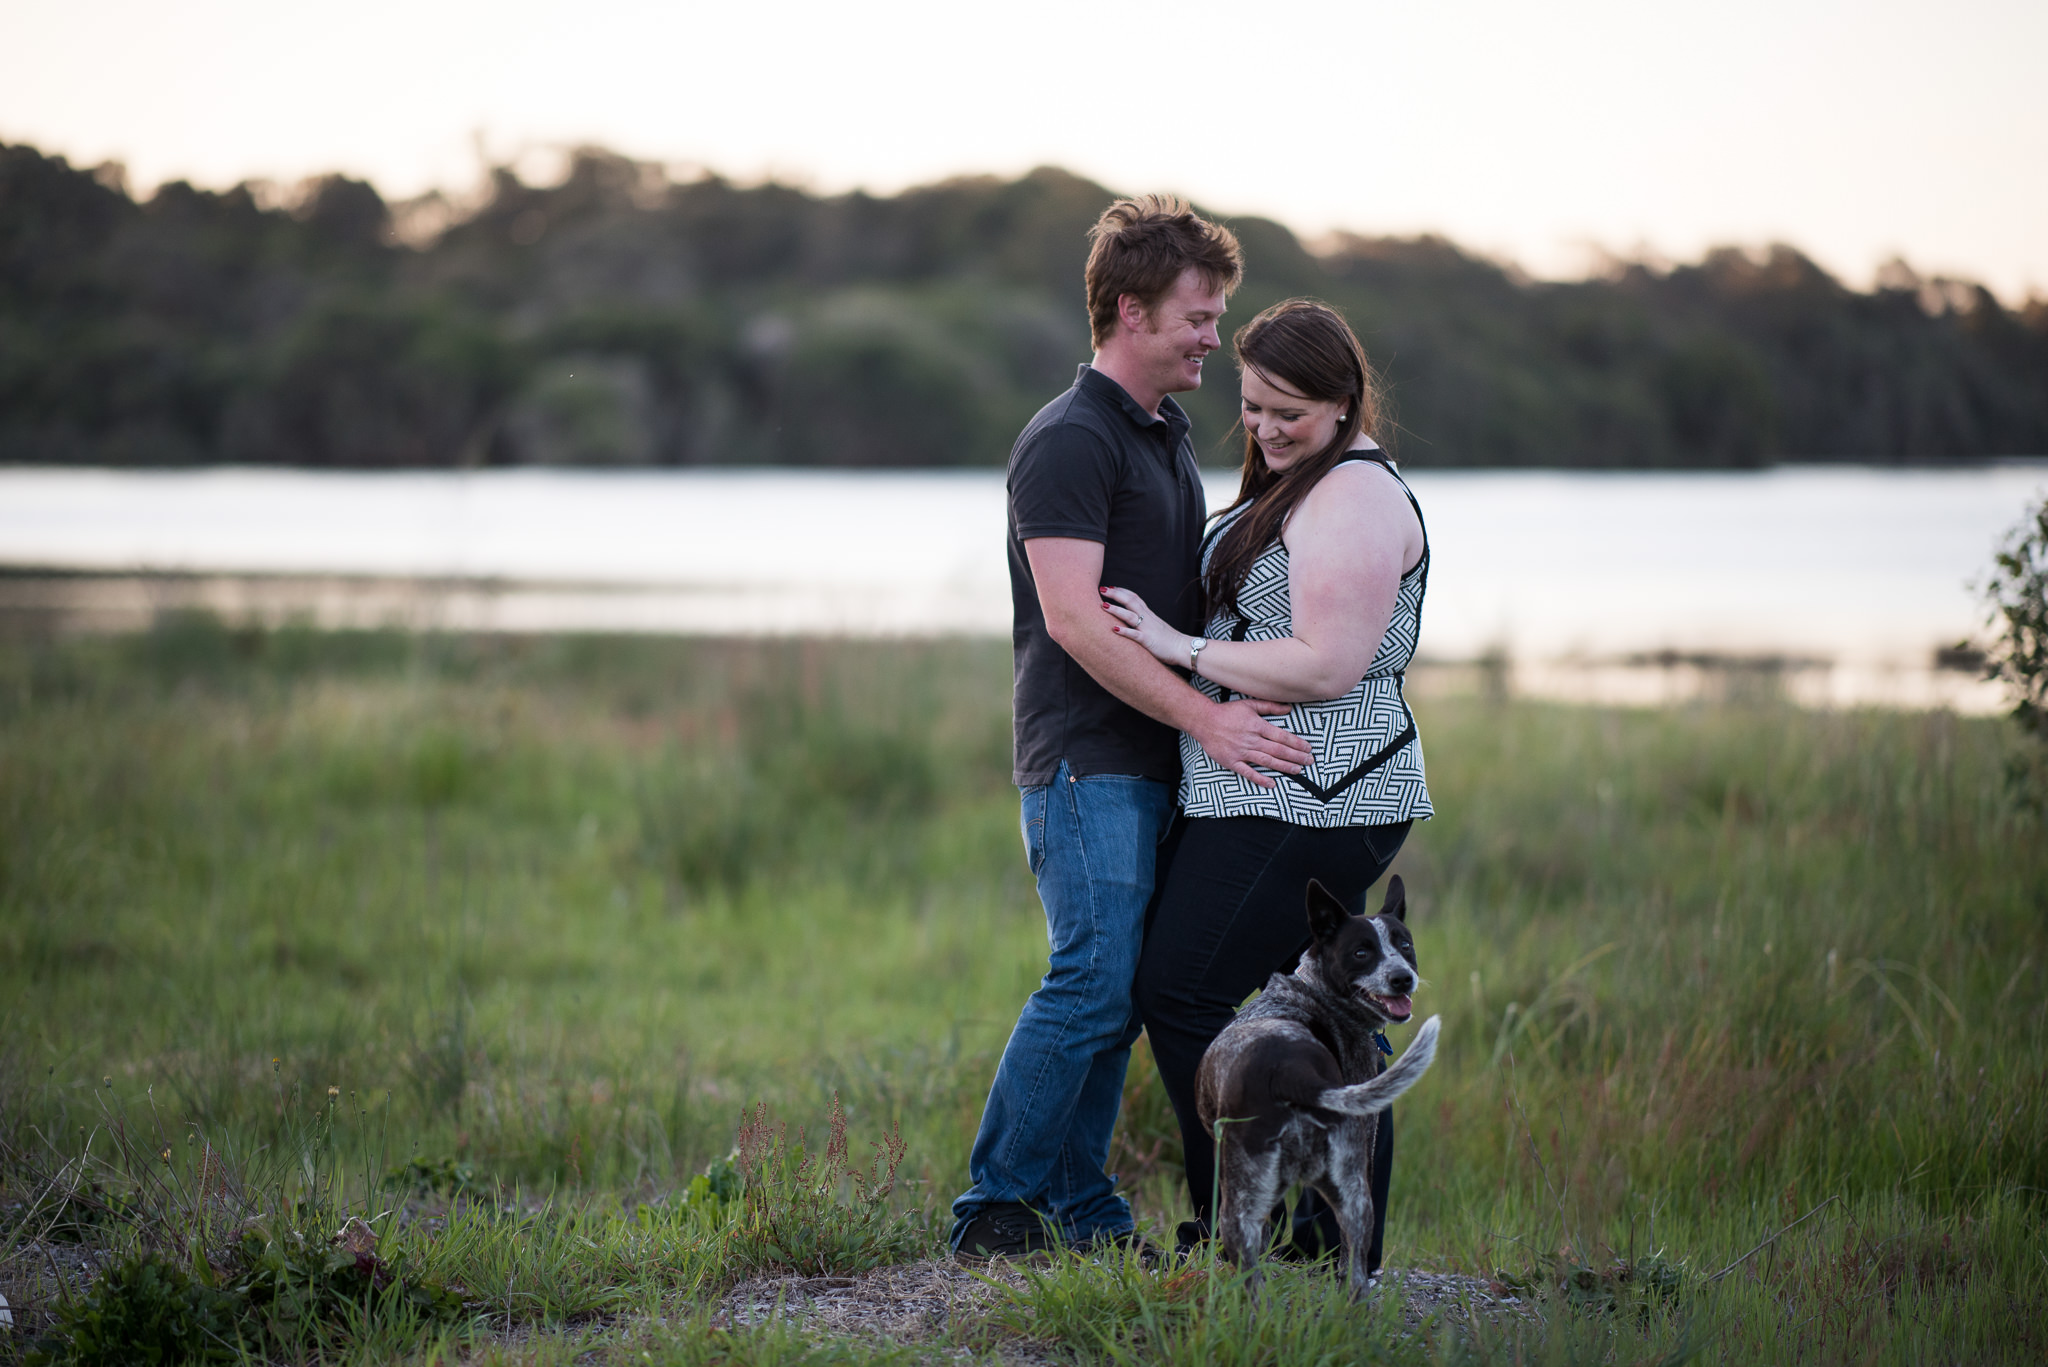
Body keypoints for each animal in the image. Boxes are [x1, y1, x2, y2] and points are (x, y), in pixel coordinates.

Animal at [1196, 881, 1449, 1303]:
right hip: (1354, 1194)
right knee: (1354, 1271)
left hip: (1246, 1209)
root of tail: (1292, 1073)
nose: (1402, 978)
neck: (1316, 991)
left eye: (1405, 945)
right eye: (1361, 952)